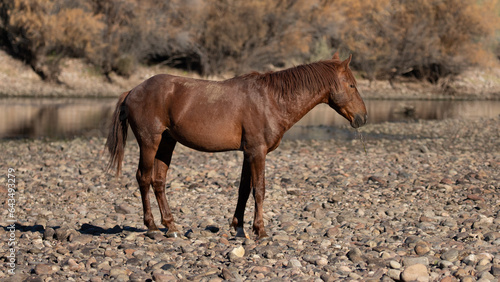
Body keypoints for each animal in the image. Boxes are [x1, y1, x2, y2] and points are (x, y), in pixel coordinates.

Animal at [106, 52, 368, 238]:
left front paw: (239, 227)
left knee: (159, 181)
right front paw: (260, 230)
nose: (363, 118)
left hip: (166, 142)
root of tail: (133, 90)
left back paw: (171, 226)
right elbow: (259, 190)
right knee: (143, 178)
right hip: (149, 142)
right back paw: (151, 226)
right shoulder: (258, 152)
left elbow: (243, 189)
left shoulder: (248, 153)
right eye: (352, 85)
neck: (271, 99)